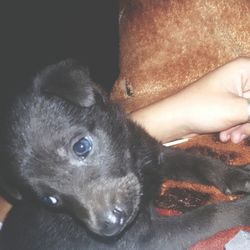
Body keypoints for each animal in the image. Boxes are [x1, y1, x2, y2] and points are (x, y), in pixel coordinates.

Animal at [0, 61, 250, 250]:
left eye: (81, 146)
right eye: (49, 200)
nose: (109, 227)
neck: (135, 163)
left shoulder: (156, 155)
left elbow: (202, 163)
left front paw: (240, 176)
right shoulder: (148, 239)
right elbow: (210, 214)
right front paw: (244, 208)